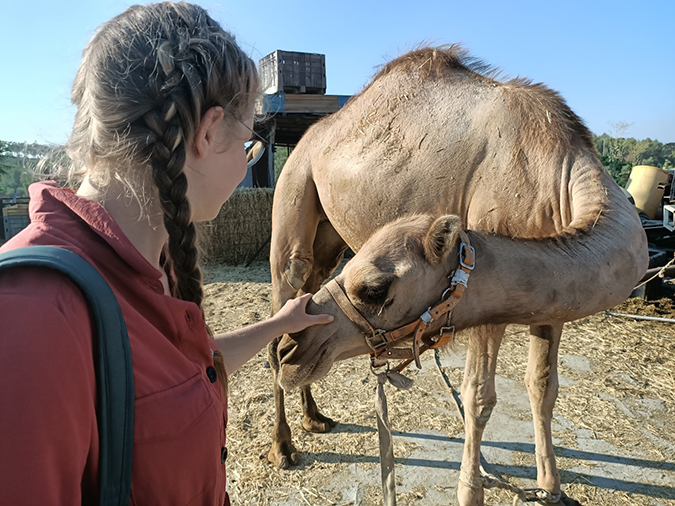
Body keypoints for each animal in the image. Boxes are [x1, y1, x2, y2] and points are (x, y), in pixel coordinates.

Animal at [266, 45, 648, 504]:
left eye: (375, 290)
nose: (297, 350)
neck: (557, 167)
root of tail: (307, 139)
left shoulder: (551, 299)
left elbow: (543, 386)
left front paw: (551, 488)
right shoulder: (489, 302)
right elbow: (478, 396)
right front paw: (471, 490)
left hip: (329, 237)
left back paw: (314, 415)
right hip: (293, 192)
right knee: (284, 292)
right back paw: (283, 445)